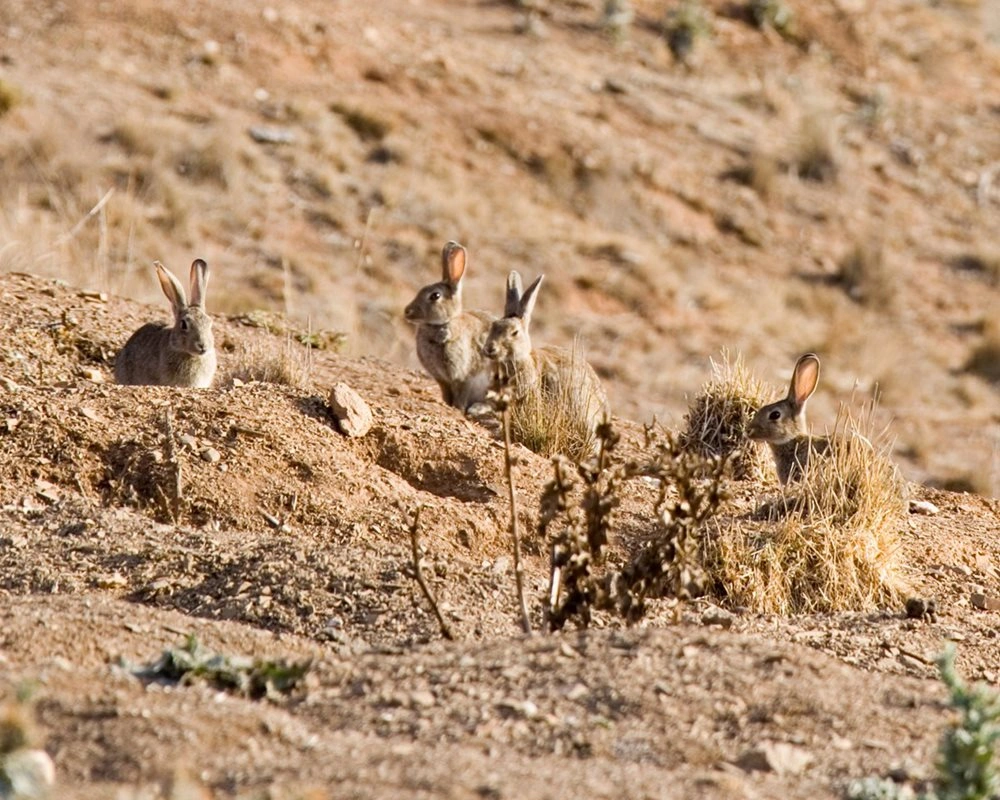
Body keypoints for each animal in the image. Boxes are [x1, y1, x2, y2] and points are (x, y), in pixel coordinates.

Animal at [404, 241, 496, 412]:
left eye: (435, 296)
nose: (407, 311)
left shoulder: (464, 376)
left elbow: (461, 395)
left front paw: (457, 408)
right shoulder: (441, 379)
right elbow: (446, 393)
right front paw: (447, 405)